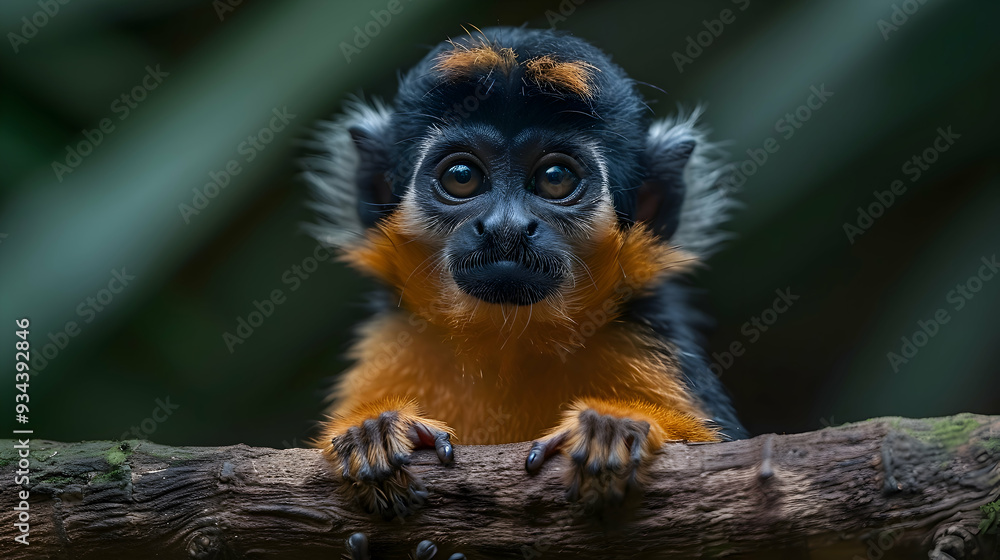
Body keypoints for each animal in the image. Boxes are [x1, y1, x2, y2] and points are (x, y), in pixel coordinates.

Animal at [301, 26, 745, 521]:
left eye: (554, 177)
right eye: (461, 176)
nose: (506, 227)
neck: (508, 344)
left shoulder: (646, 341)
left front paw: (613, 431)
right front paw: (374, 435)